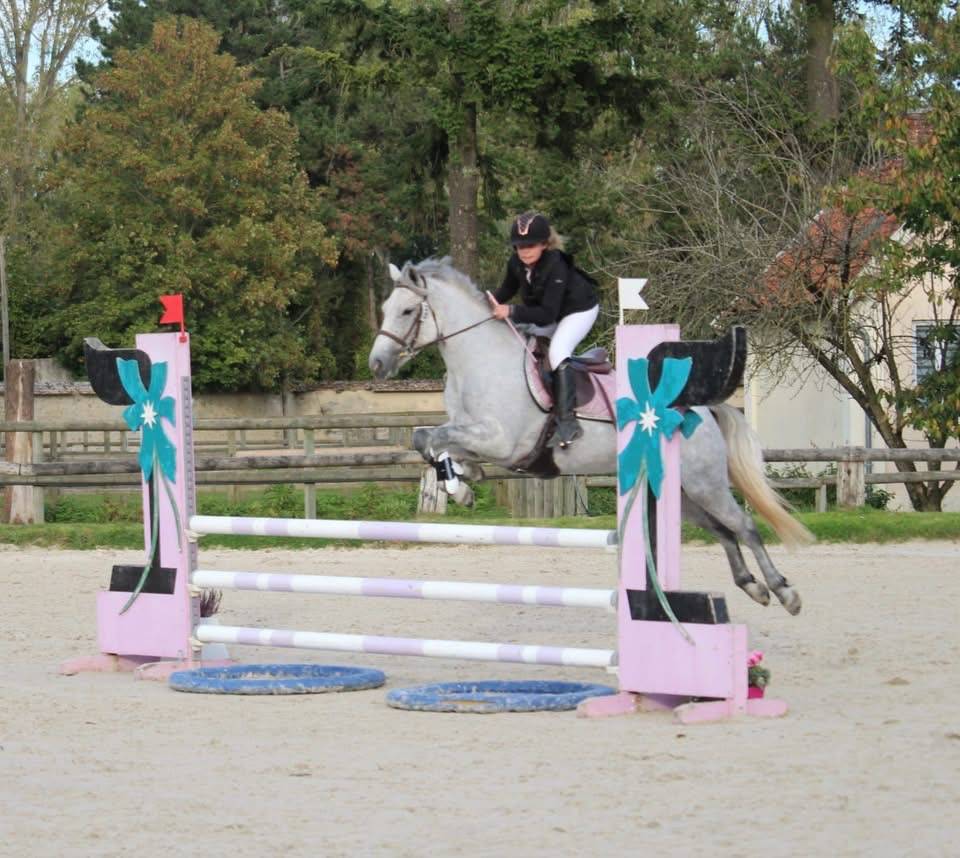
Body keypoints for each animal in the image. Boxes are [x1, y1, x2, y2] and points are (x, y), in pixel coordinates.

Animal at [368, 258, 810, 614]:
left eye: (407, 310)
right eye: (385, 309)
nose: (376, 364)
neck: (478, 362)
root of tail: (699, 410)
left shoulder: (503, 441)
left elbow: (432, 438)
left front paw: (459, 486)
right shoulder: (477, 436)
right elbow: (428, 439)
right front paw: (462, 482)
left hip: (705, 484)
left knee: (744, 526)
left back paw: (783, 591)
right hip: (682, 494)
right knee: (723, 530)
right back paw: (751, 586)